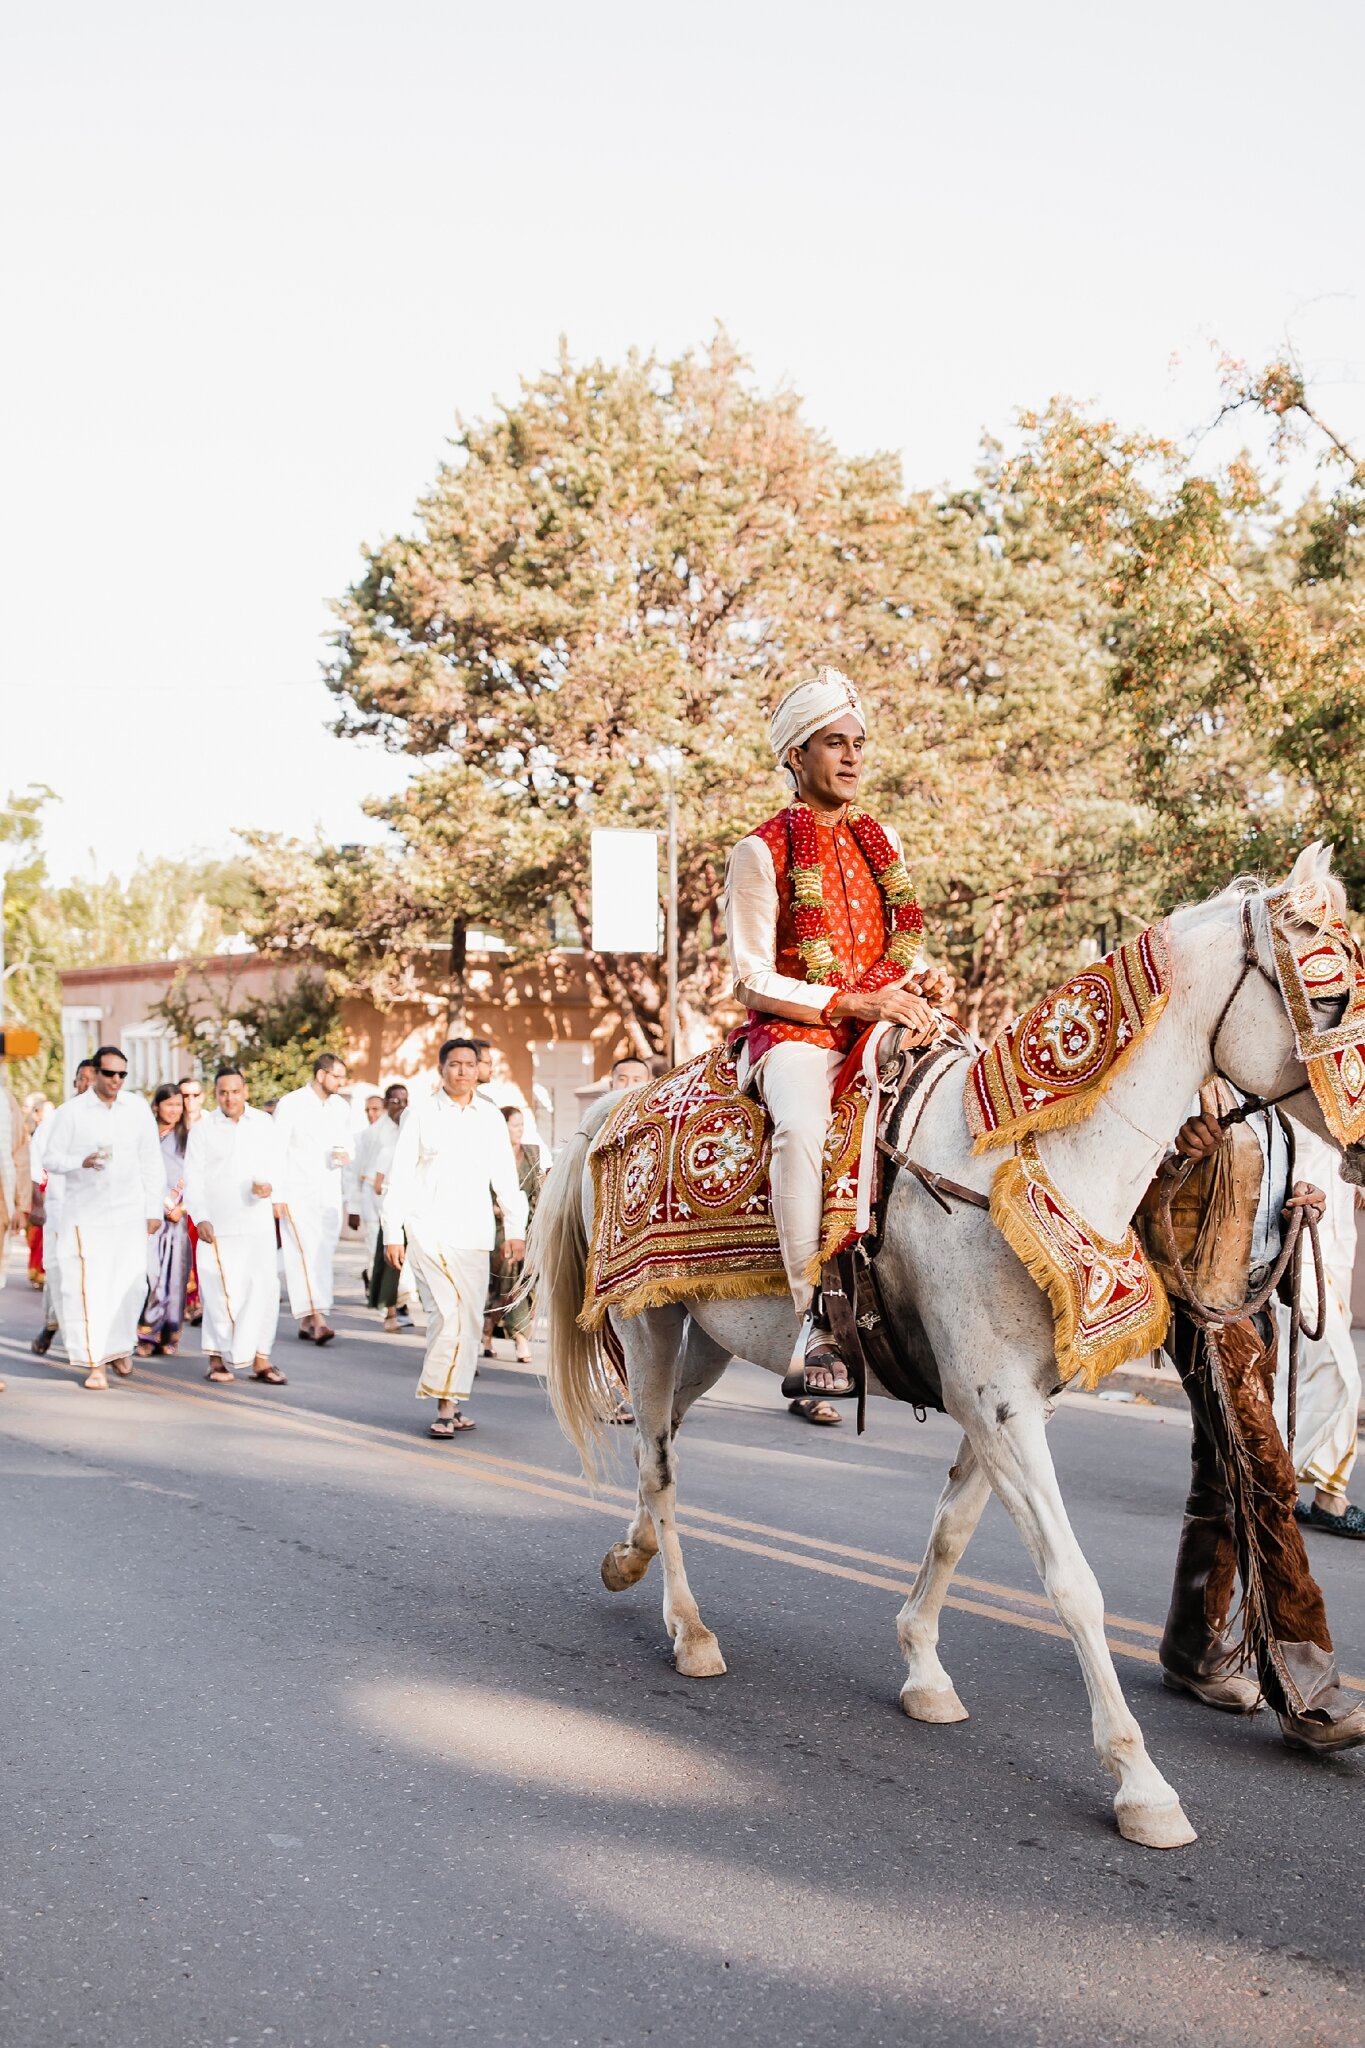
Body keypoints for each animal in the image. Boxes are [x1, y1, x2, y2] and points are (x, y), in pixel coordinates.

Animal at [527, 847, 1358, 1859]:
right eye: (1326, 994)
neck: (1016, 1161)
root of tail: (616, 1104)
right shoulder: (996, 1402)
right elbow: (1070, 1582)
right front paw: (1140, 1783)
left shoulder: (1005, 1402)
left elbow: (954, 1530)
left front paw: (922, 1671)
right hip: (649, 1323)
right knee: (656, 1464)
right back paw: (688, 1631)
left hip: (708, 1339)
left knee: (666, 1448)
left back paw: (628, 1556)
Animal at [724, 663, 949, 1400]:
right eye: (834, 741)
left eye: (855, 739)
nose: (851, 762)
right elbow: (755, 970)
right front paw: (885, 1005)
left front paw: (924, 991)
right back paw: (820, 1348)